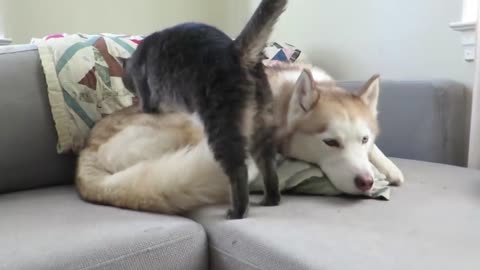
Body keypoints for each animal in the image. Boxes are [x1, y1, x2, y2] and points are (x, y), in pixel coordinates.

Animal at [77, 63, 404, 215]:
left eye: (363, 139)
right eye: (330, 142)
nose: (366, 182)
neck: (284, 97)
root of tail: (87, 149)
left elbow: (378, 152)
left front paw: (388, 167)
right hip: (191, 122)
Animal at [121, 0, 288, 219]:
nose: (126, 86)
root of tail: (233, 49)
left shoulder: (148, 96)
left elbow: (148, 106)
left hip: (221, 125)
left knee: (239, 169)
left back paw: (237, 211)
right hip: (260, 124)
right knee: (268, 163)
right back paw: (271, 199)